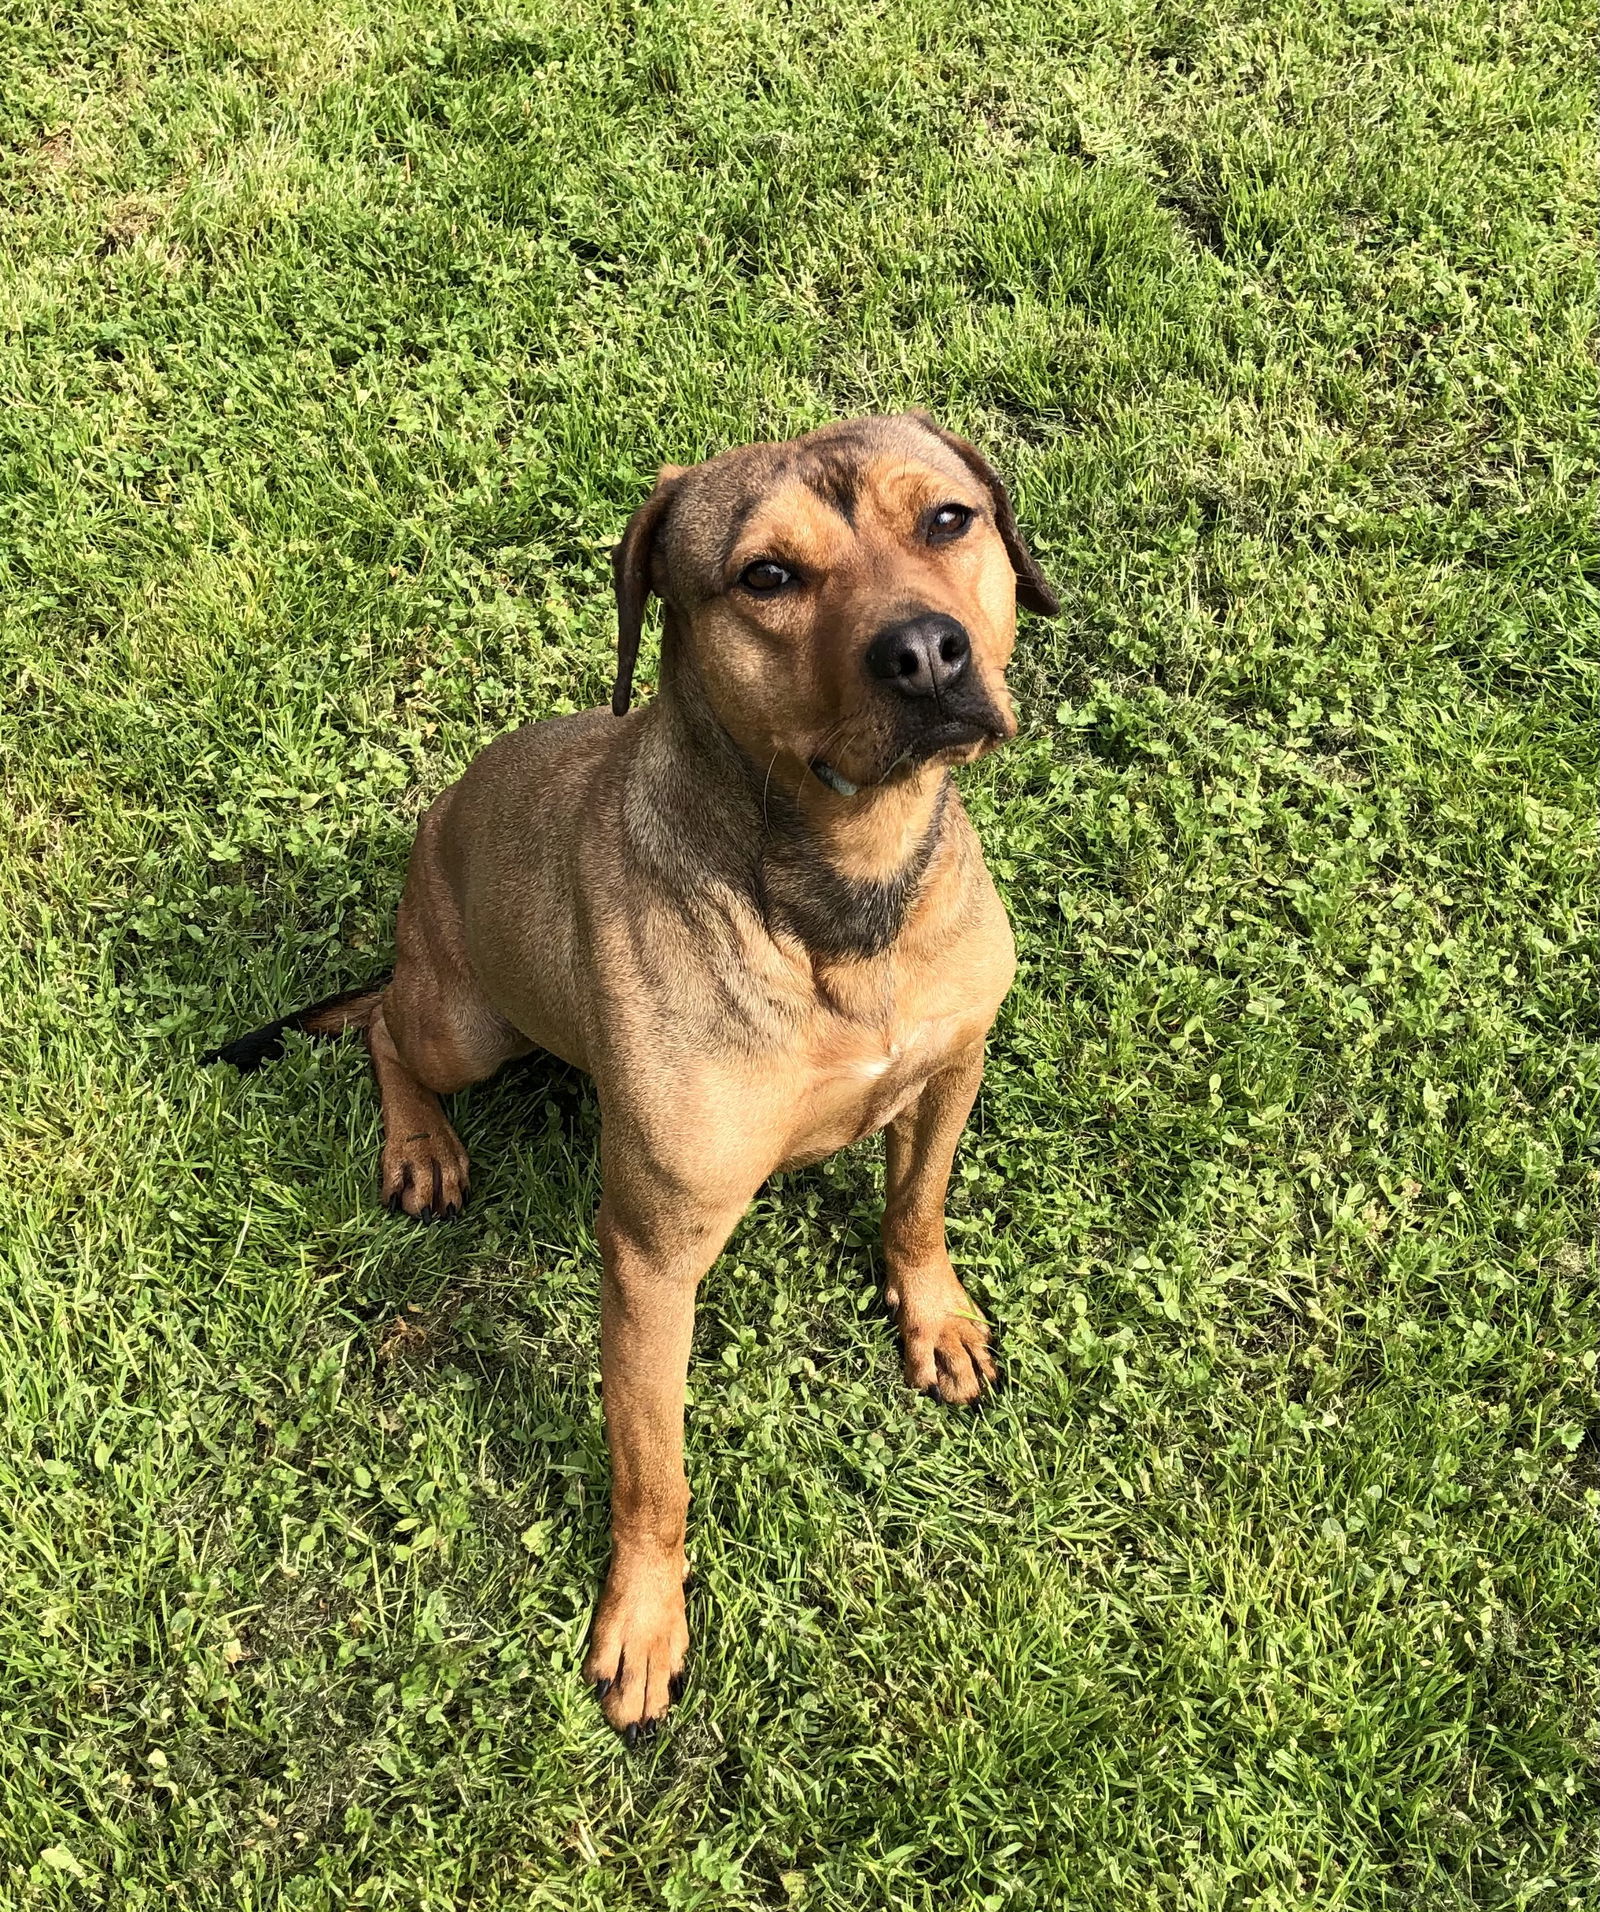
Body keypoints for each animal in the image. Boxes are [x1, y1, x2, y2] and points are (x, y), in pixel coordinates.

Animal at [212, 414, 1062, 1736]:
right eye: (766, 575)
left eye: (946, 519)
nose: (925, 653)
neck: (840, 884)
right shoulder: (653, 1258)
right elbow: (653, 1468)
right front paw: (646, 1618)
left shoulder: (952, 1065)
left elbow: (916, 1206)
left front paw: (934, 1316)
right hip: (466, 1018)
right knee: (389, 1035)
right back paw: (422, 1145)